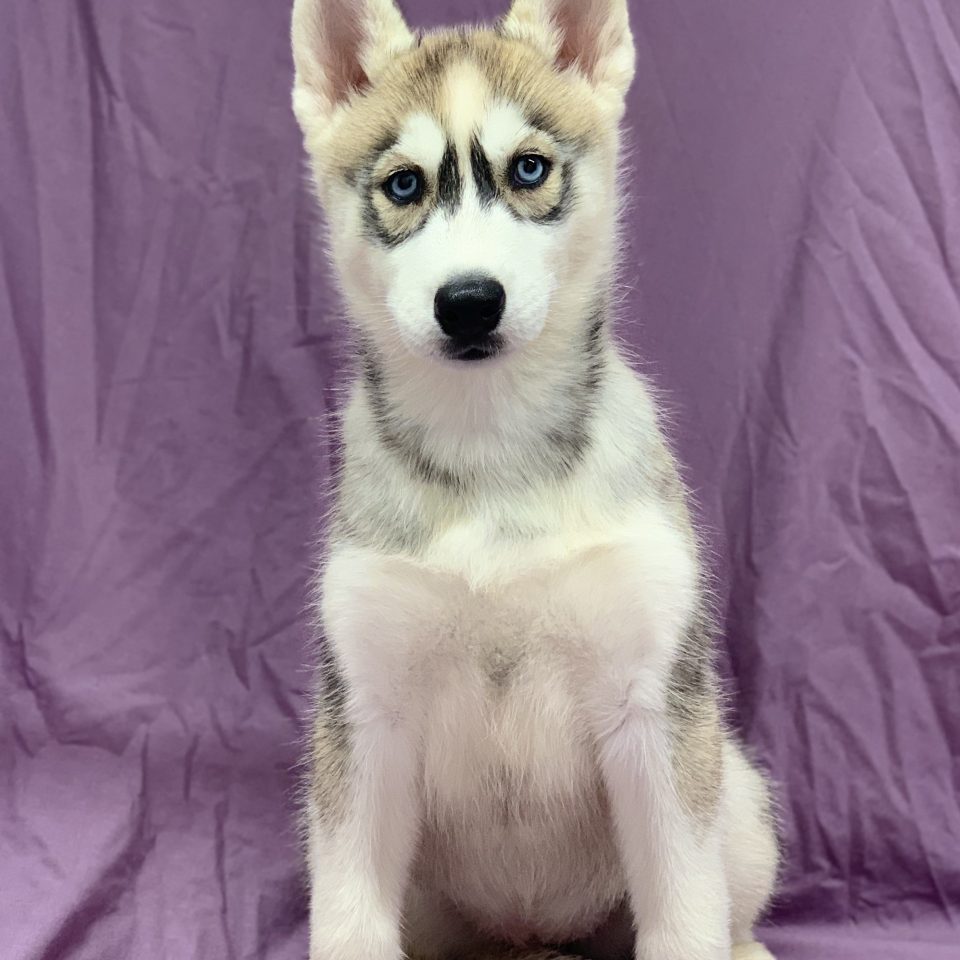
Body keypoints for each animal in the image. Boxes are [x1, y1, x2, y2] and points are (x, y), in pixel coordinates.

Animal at [290, 1, 780, 960]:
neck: (493, 461)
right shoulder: (363, 722)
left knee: (729, 908)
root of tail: (531, 939)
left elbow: (686, 916)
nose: (469, 302)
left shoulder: (653, 714)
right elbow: (349, 917)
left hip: (736, 796)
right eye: (403, 185)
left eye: (529, 168)